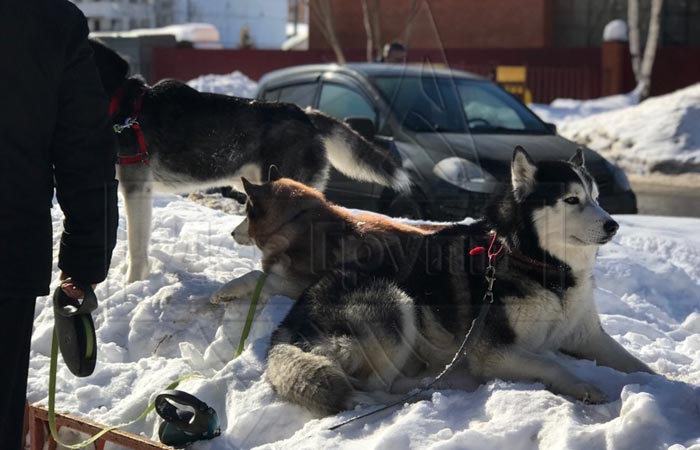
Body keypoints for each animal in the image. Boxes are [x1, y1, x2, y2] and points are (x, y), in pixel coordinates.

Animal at [221, 147, 652, 414]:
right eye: (571, 200)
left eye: (596, 197)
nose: (613, 225)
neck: (543, 266)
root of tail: (288, 323)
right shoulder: (494, 352)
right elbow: (553, 366)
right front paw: (585, 387)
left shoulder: (586, 335)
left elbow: (641, 367)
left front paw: (662, 385)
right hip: (396, 306)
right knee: (374, 387)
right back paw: (422, 393)